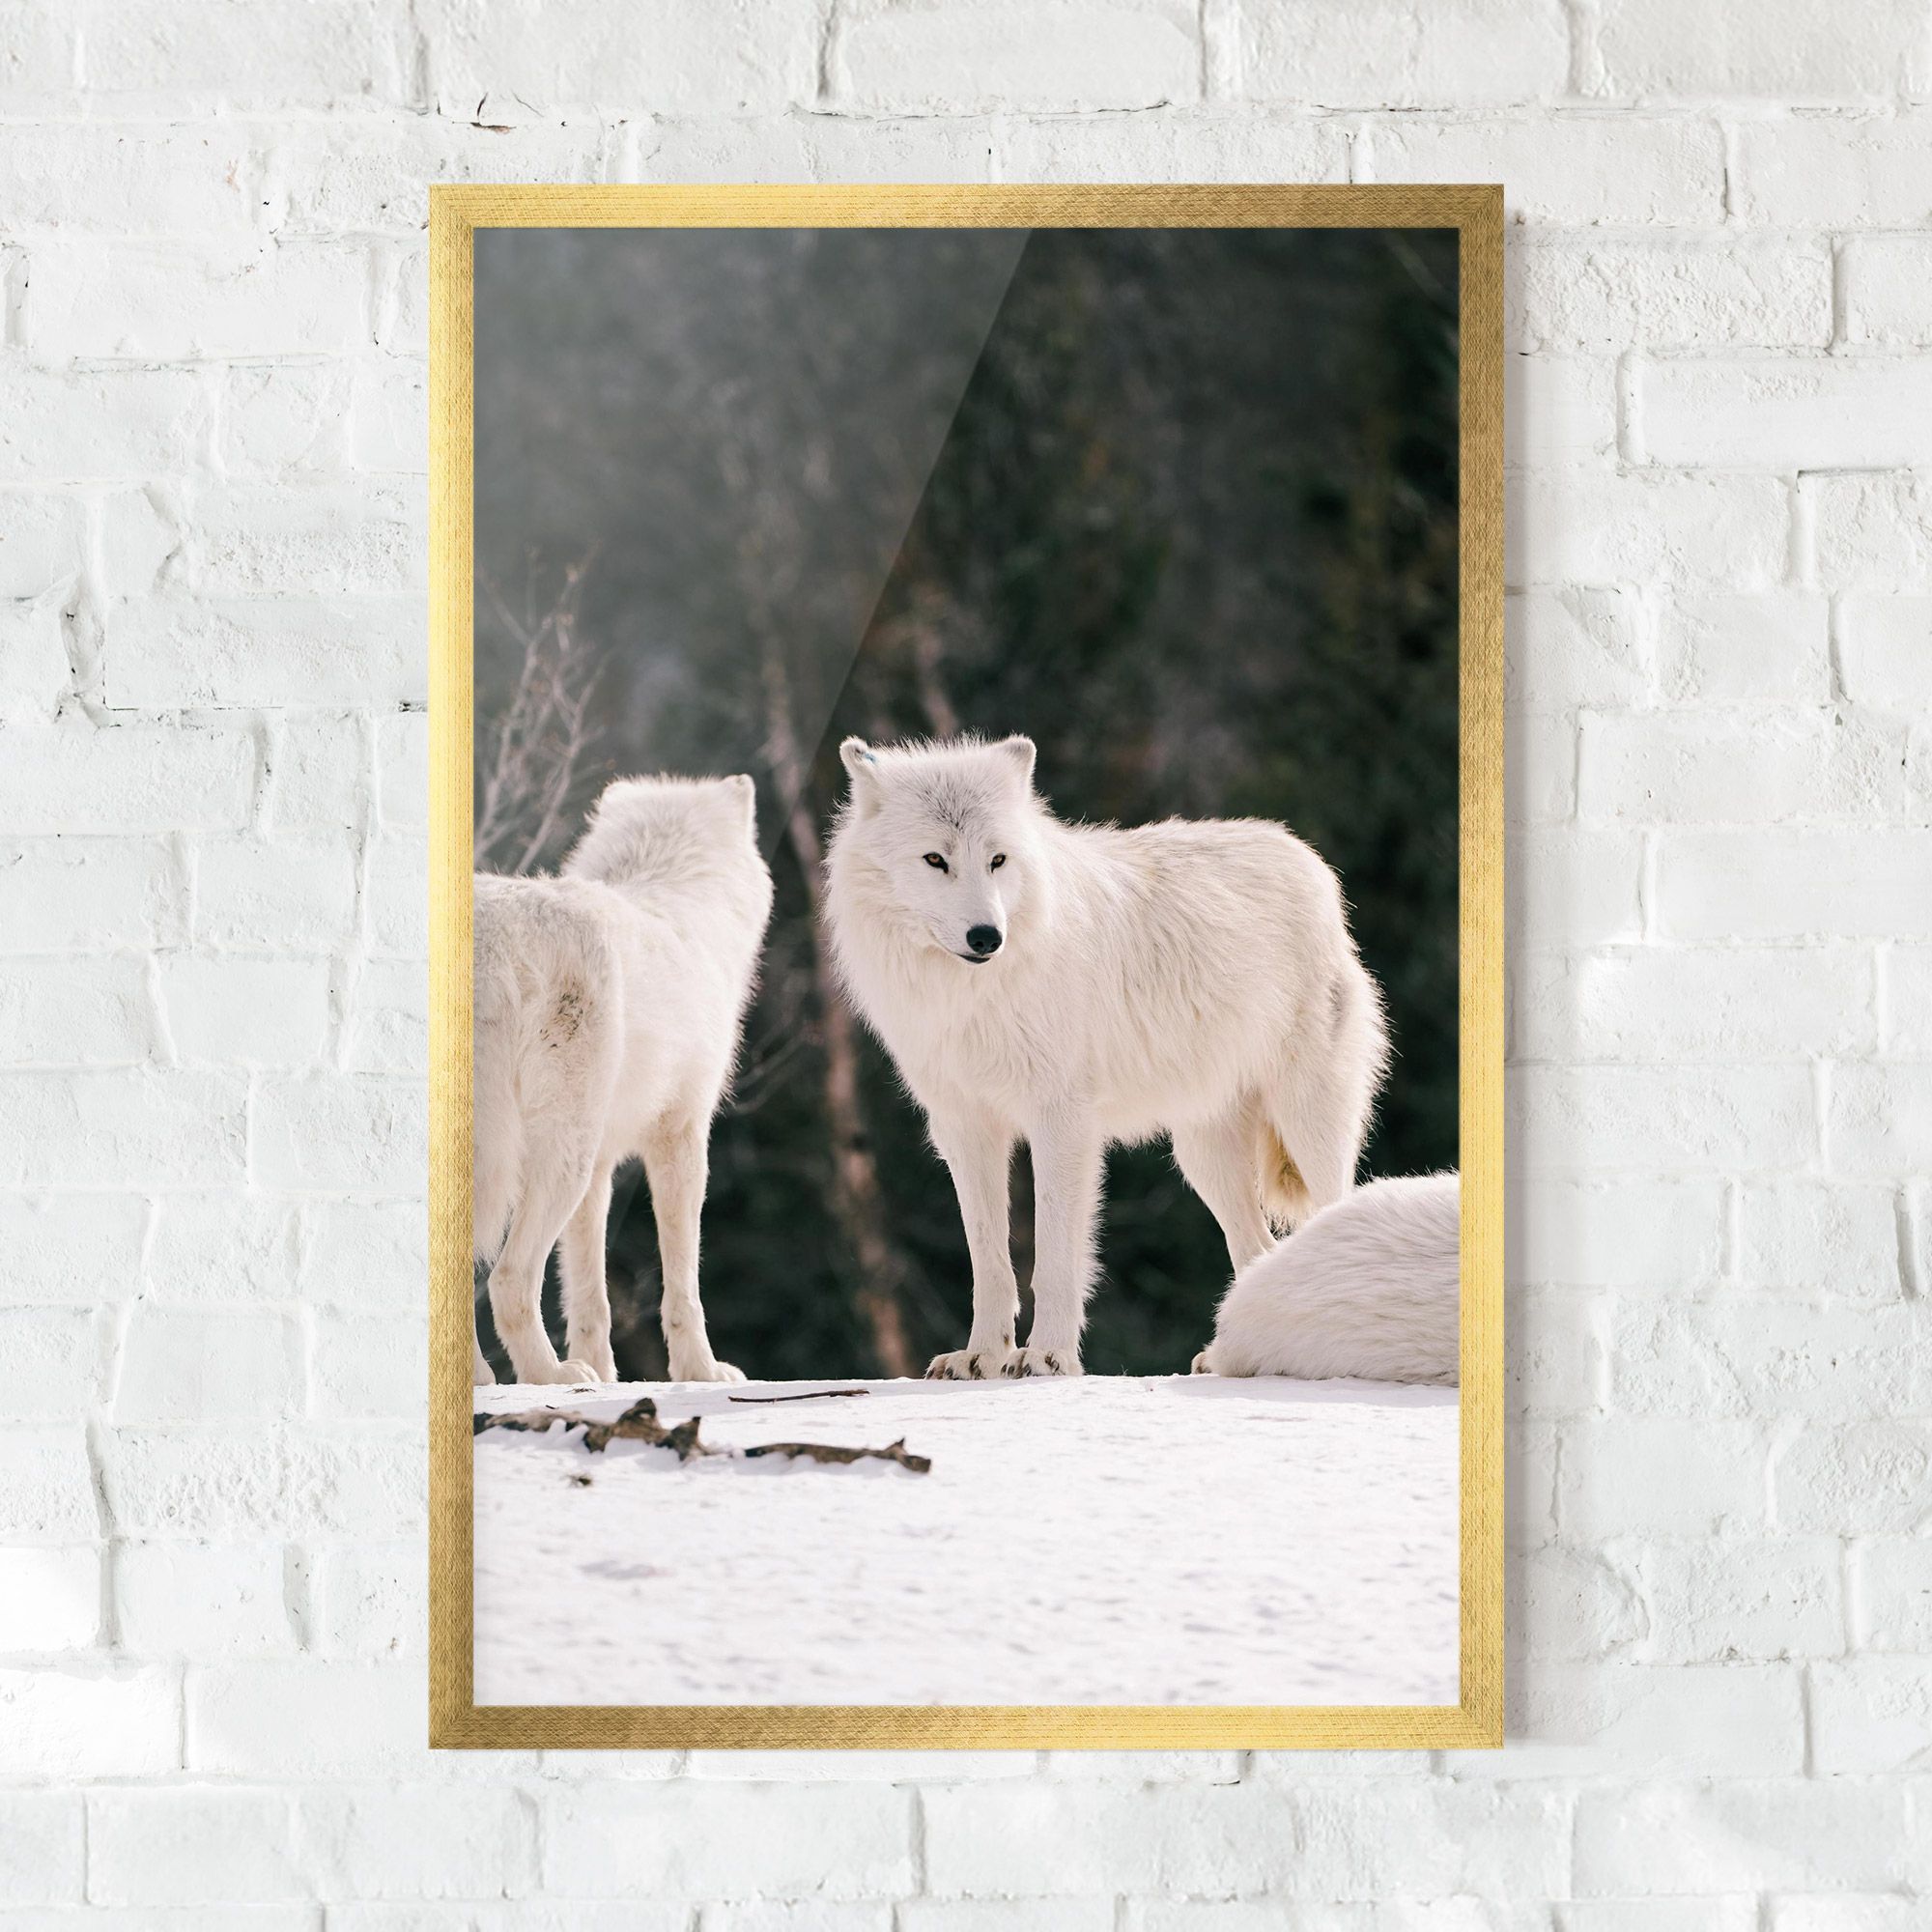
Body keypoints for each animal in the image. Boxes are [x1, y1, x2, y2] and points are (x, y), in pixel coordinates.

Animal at [472, 774, 773, 1387]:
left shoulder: (603, 1166)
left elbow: (589, 1292)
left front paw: (606, 1372)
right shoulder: (682, 1135)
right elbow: (683, 1280)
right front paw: (700, 1371)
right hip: (560, 1157)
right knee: (509, 1281)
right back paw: (553, 1376)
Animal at [823, 734, 1388, 1379]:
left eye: (997, 860)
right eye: (935, 860)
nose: (987, 937)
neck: (974, 996)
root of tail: (1306, 857)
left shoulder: (1062, 1122)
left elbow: (1054, 1256)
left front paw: (1046, 1356)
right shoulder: (965, 1128)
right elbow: (988, 1261)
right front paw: (982, 1356)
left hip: (1308, 1127)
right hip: (1202, 1158)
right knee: (1258, 1250)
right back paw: (1229, 1360)